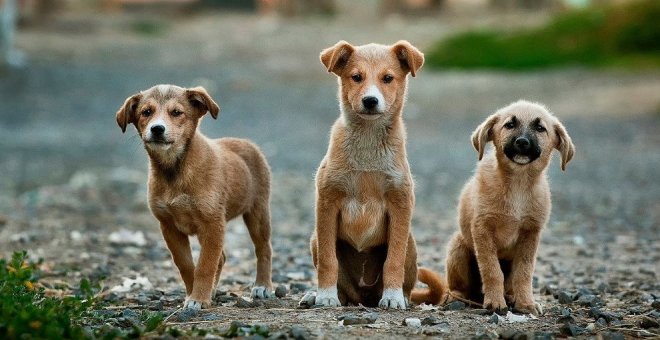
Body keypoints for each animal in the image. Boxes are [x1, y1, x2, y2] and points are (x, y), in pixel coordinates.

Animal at [116, 84, 274, 308]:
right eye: (146, 112)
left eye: (176, 112)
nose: (157, 129)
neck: (175, 170)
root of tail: (247, 143)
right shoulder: (169, 227)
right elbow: (186, 265)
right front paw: (193, 294)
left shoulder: (212, 223)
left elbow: (205, 265)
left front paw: (198, 298)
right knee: (222, 257)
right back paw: (214, 291)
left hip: (257, 212)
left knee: (263, 249)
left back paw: (262, 286)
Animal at [302, 39, 426, 308]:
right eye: (356, 77)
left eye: (388, 78)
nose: (370, 100)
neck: (368, 143)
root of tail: (364, 297)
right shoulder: (327, 202)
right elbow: (328, 260)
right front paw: (325, 296)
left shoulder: (400, 203)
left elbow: (394, 260)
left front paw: (393, 297)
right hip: (315, 239)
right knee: (342, 286)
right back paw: (320, 295)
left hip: (411, 243)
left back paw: (399, 296)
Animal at [440, 101, 576, 316]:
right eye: (509, 125)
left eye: (540, 128)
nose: (522, 142)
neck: (518, 184)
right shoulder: (482, 229)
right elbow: (492, 270)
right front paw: (495, 302)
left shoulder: (530, 234)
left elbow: (524, 273)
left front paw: (526, 303)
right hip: (458, 247)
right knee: (459, 287)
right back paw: (456, 297)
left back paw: (511, 297)